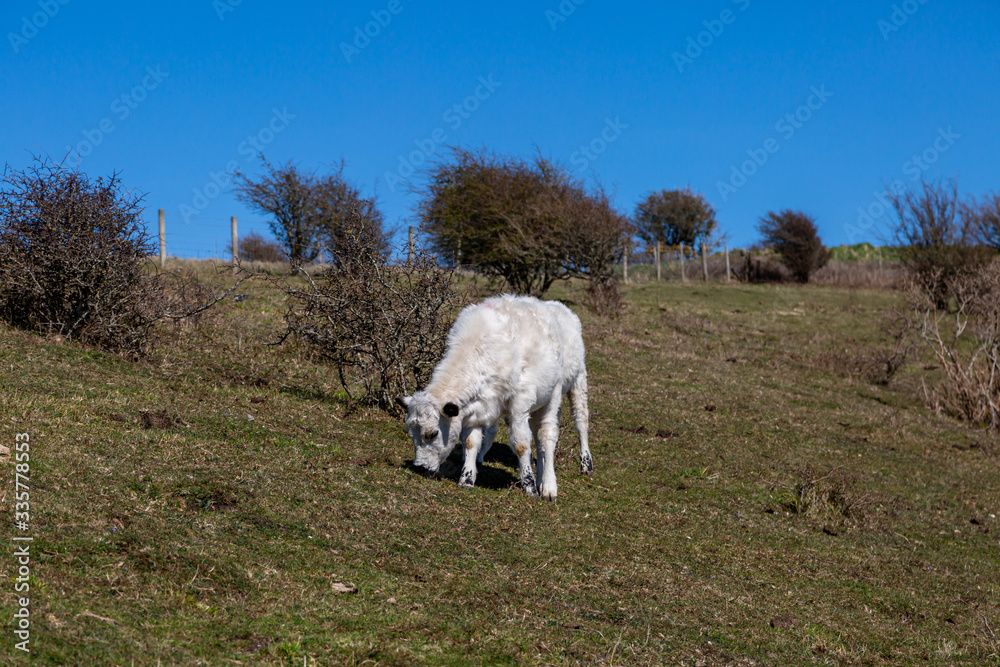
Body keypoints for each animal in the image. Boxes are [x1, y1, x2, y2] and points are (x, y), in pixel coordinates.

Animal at [397, 295, 591, 501]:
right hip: (538, 406)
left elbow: (521, 444)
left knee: (561, 430)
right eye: (411, 433)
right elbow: (471, 441)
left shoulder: (519, 406)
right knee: (539, 441)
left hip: (566, 388)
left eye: (433, 433)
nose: (420, 467)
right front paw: (466, 479)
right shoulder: (476, 408)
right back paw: (541, 480)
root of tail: (555, 306)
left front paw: (529, 487)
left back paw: (557, 482)